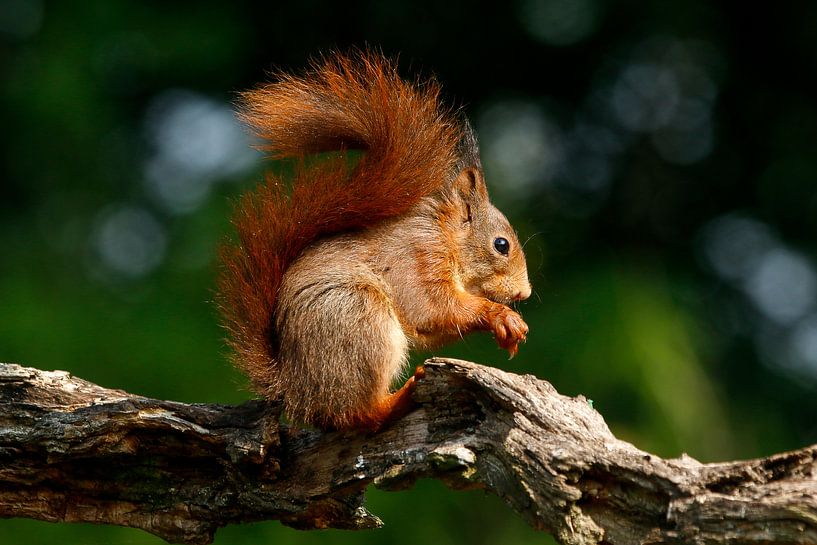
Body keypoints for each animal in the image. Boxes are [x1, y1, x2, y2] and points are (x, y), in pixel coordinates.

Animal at [220, 53, 532, 432]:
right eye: (502, 245)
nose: (525, 293)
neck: (445, 236)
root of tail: (297, 393)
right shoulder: (418, 256)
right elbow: (432, 309)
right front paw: (501, 315)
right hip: (357, 318)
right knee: (359, 413)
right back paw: (399, 398)